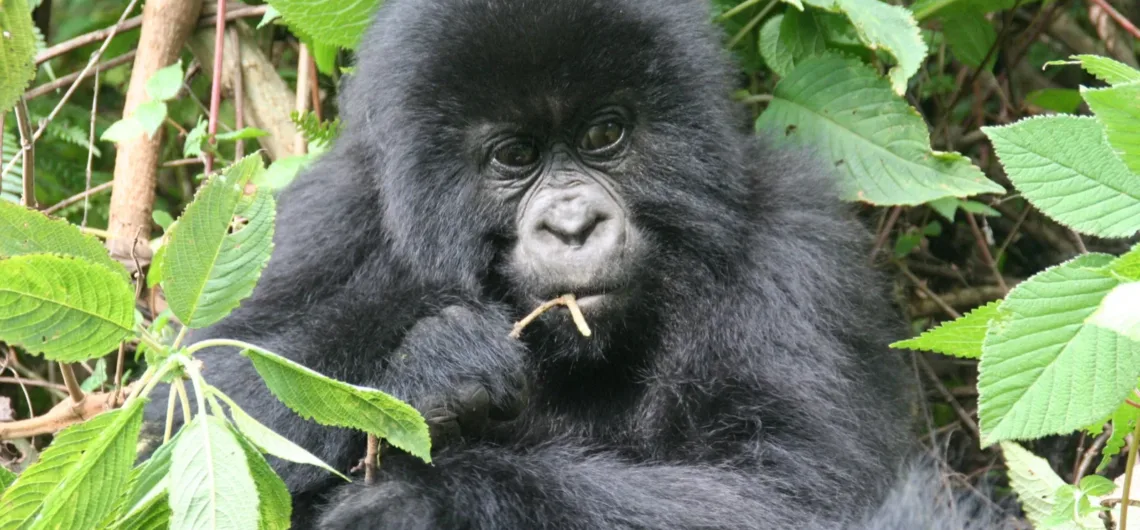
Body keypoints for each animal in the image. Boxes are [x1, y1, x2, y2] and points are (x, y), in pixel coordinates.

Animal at [149, 0, 998, 524]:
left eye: (604, 136)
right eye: (515, 156)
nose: (573, 222)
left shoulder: (797, 244)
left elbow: (790, 492)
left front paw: (423, 503)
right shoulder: (332, 216)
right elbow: (184, 417)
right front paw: (424, 364)